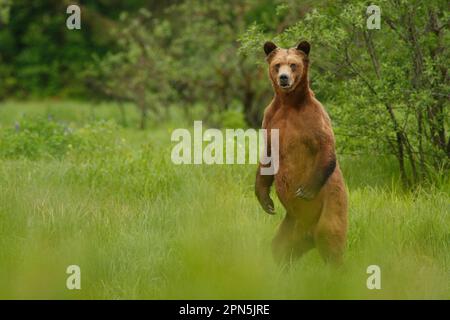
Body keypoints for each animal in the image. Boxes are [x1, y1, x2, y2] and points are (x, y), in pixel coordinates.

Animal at [253, 40, 348, 264]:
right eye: (278, 65)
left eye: (293, 64)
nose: (284, 78)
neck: (289, 104)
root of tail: (309, 235)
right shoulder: (270, 118)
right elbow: (267, 157)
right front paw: (266, 201)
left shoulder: (313, 118)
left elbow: (326, 147)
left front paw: (305, 190)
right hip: (291, 225)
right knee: (279, 247)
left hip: (332, 207)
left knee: (331, 239)